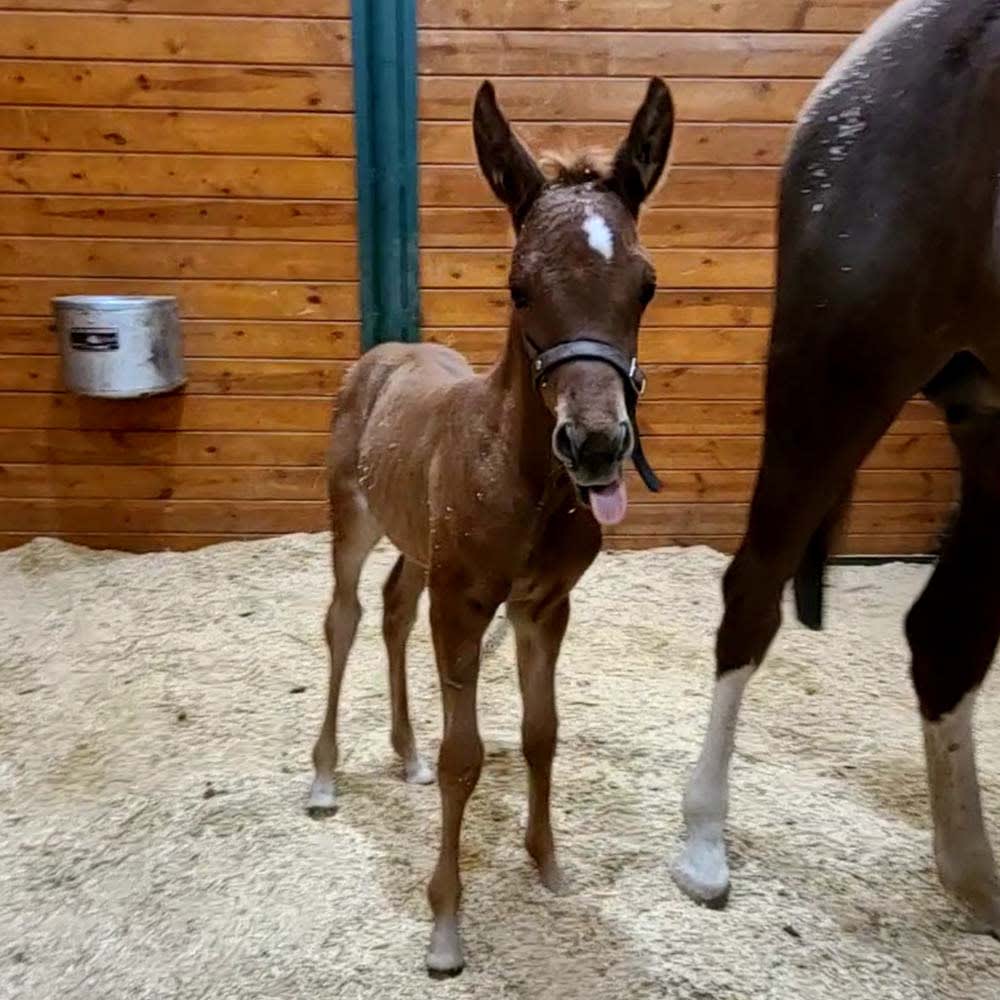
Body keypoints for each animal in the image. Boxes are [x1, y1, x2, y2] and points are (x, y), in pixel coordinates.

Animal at [308, 80, 676, 976]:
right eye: (516, 286)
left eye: (646, 284)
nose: (595, 444)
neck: (522, 482)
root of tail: (383, 354)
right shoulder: (465, 604)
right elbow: (465, 757)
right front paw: (445, 926)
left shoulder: (544, 605)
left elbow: (541, 734)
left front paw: (547, 864)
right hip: (352, 515)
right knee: (345, 615)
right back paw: (325, 778)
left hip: (415, 540)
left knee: (393, 607)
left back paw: (400, 752)